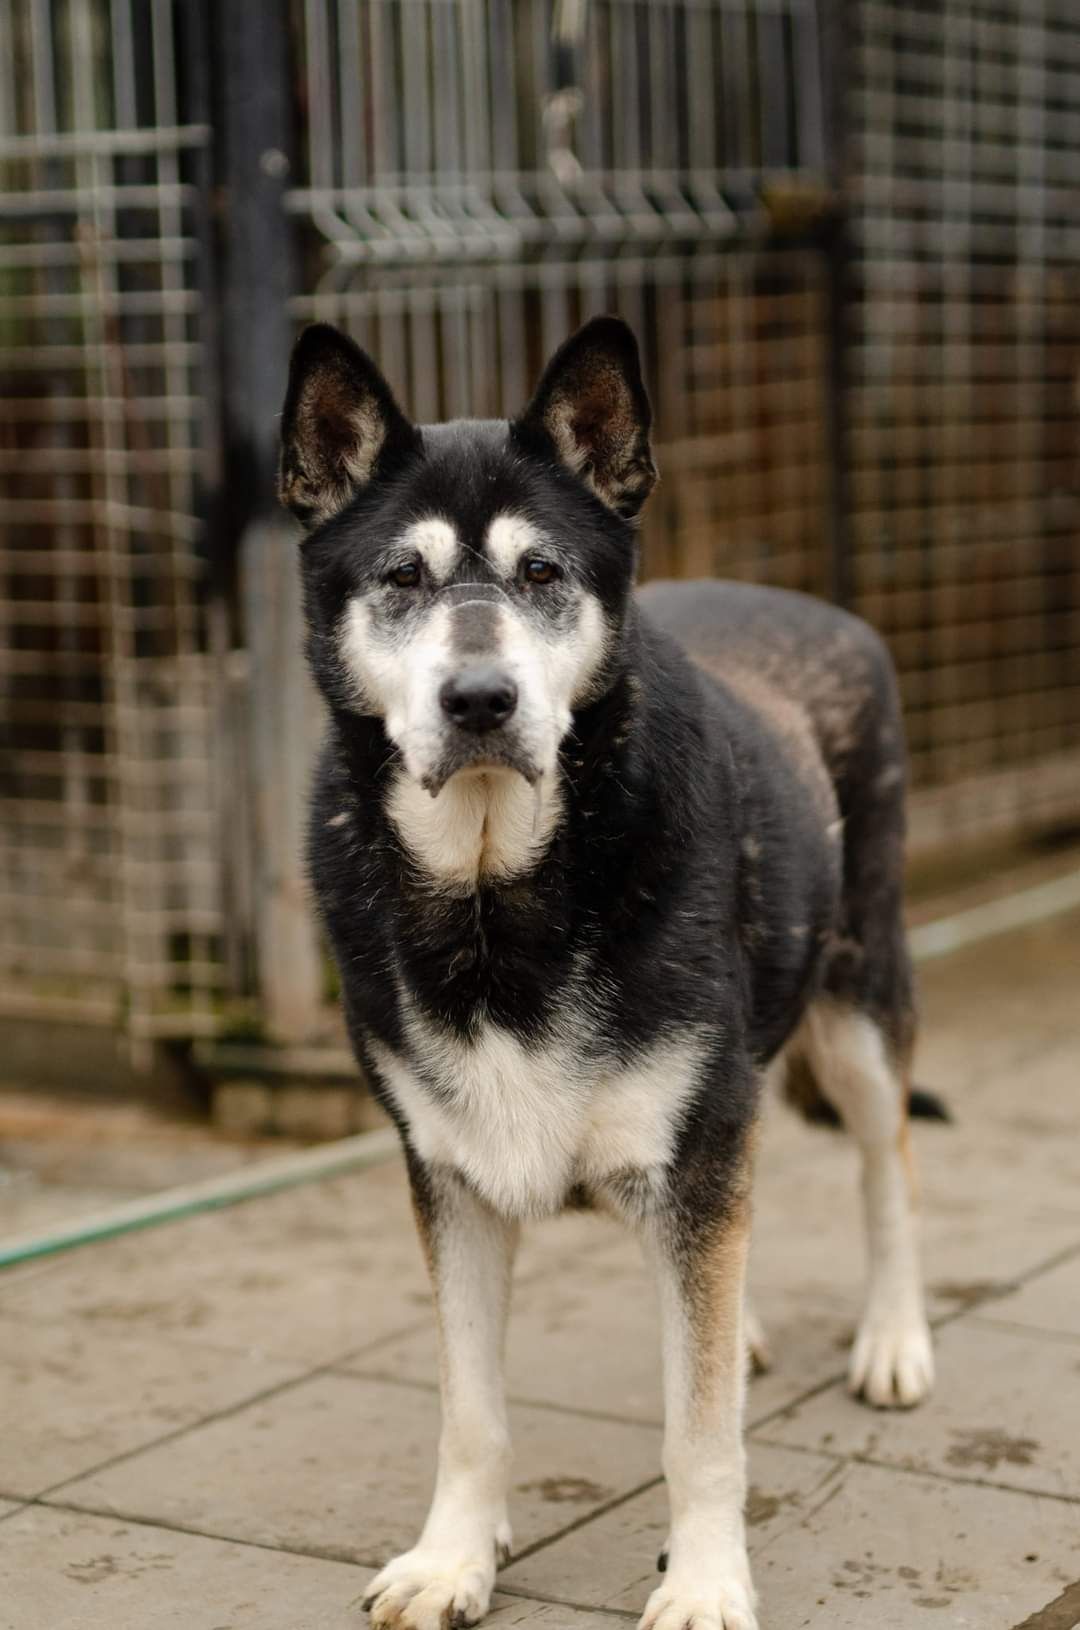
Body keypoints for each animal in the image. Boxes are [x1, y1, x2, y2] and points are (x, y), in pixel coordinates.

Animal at [278, 317, 938, 1630]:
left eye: (542, 575)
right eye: (401, 579)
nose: (480, 700)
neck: (498, 889)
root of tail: (813, 602)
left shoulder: (699, 1143)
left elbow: (701, 1433)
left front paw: (707, 1578)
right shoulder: (450, 1176)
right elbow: (472, 1411)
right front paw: (454, 1556)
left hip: (858, 1001)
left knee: (883, 1159)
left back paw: (893, 1339)